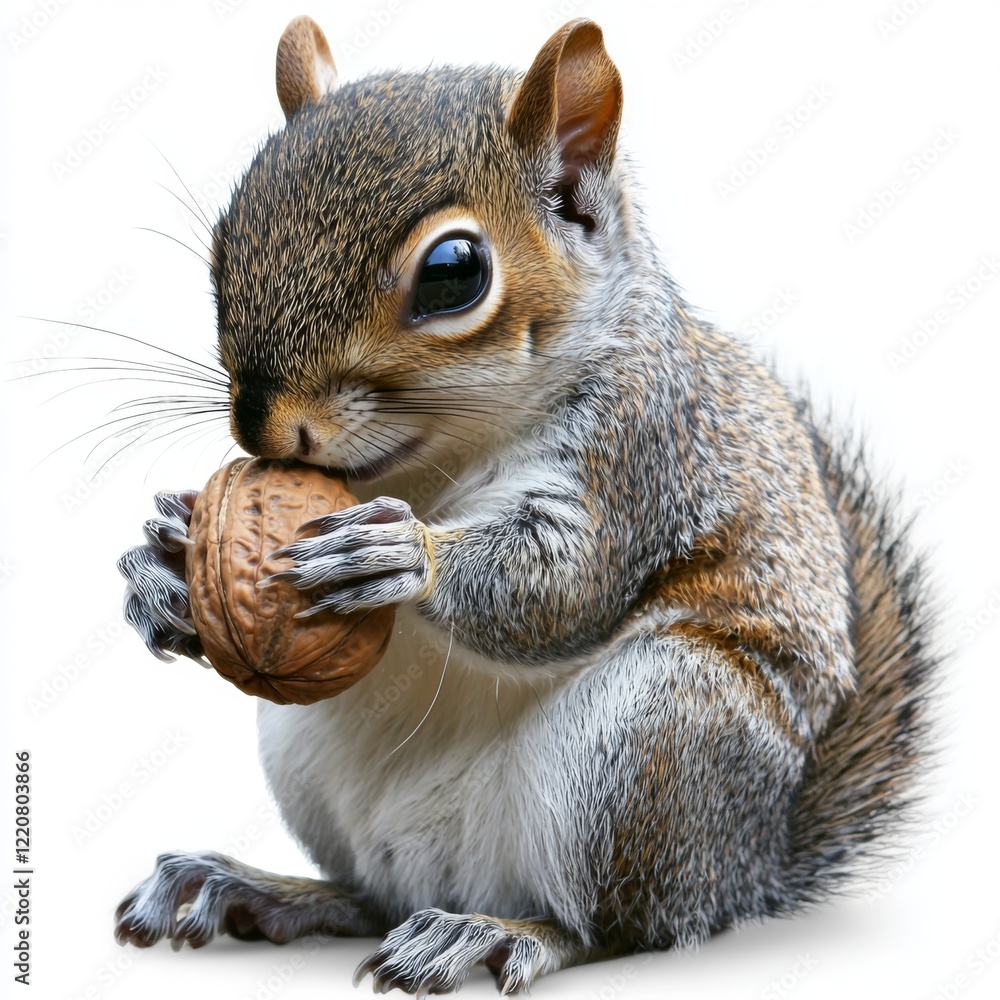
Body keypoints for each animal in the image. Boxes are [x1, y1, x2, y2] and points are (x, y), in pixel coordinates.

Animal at [113, 15, 937, 996]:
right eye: (225, 241)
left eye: (453, 273)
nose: (261, 425)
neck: (428, 464)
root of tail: (746, 870)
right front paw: (160, 568)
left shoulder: (637, 454)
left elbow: (559, 589)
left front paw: (403, 558)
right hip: (310, 756)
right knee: (368, 897)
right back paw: (255, 888)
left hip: (651, 745)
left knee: (618, 927)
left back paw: (494, 933)